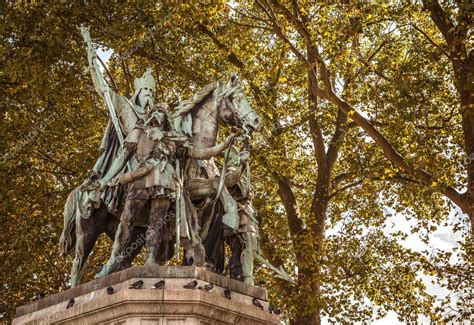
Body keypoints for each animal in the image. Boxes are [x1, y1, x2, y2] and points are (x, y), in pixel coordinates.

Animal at [59, 73, 262, 286]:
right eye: (236, 98)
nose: (256, 121)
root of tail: (79, 188)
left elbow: (218, 187)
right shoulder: (189, 187)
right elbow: (218, 189)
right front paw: (231, 216)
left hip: (131, 230)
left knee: (123, 252)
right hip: (88, 228)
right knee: (79, 263)